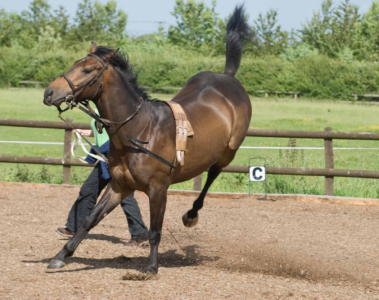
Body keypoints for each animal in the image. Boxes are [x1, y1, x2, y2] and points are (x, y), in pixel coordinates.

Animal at [43, 6, 252, 274]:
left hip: (229, 151)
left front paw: (151, 267)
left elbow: (155, 230)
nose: (49, 92)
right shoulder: (119, 187)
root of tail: (228, 77)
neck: (139, 130)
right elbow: (89, 220)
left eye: (87, 70)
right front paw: (61, 255)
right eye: (74, 64)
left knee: (213, 173)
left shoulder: (158, 189)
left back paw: (191, 215)